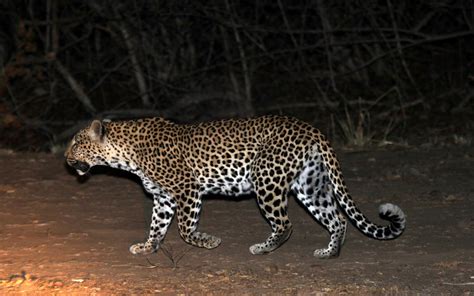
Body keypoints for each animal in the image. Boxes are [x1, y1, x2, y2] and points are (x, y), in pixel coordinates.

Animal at [65, 114, 406, 258]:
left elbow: (184, 229)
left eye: (76, 143)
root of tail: (310, 128)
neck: (125, 153)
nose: (66, 160)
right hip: (309, 185)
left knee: (286, 224)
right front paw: (148, 247)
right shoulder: (163, 198)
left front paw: (207, 242)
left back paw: (264, 248)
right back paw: (329, 252)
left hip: (266, 179)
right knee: (337, 220)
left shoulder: (187, 189)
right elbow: (157, 227)